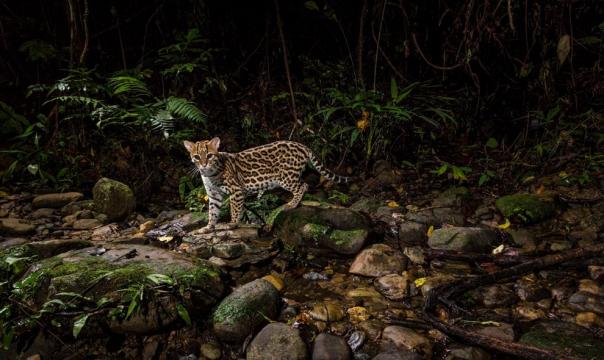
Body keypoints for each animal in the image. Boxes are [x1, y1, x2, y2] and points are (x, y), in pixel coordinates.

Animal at [186, 136, 352, 232]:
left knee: (303, 186)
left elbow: (234, 209)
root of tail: (302, 145)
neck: (209, 174)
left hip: (286, 177)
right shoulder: (213, 195)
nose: (203, 165)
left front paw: (232, 224)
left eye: (209, 155)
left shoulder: (236, 190)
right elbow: (212, 212)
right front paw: (209, 227)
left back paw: (292, 204)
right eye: (197, 156)